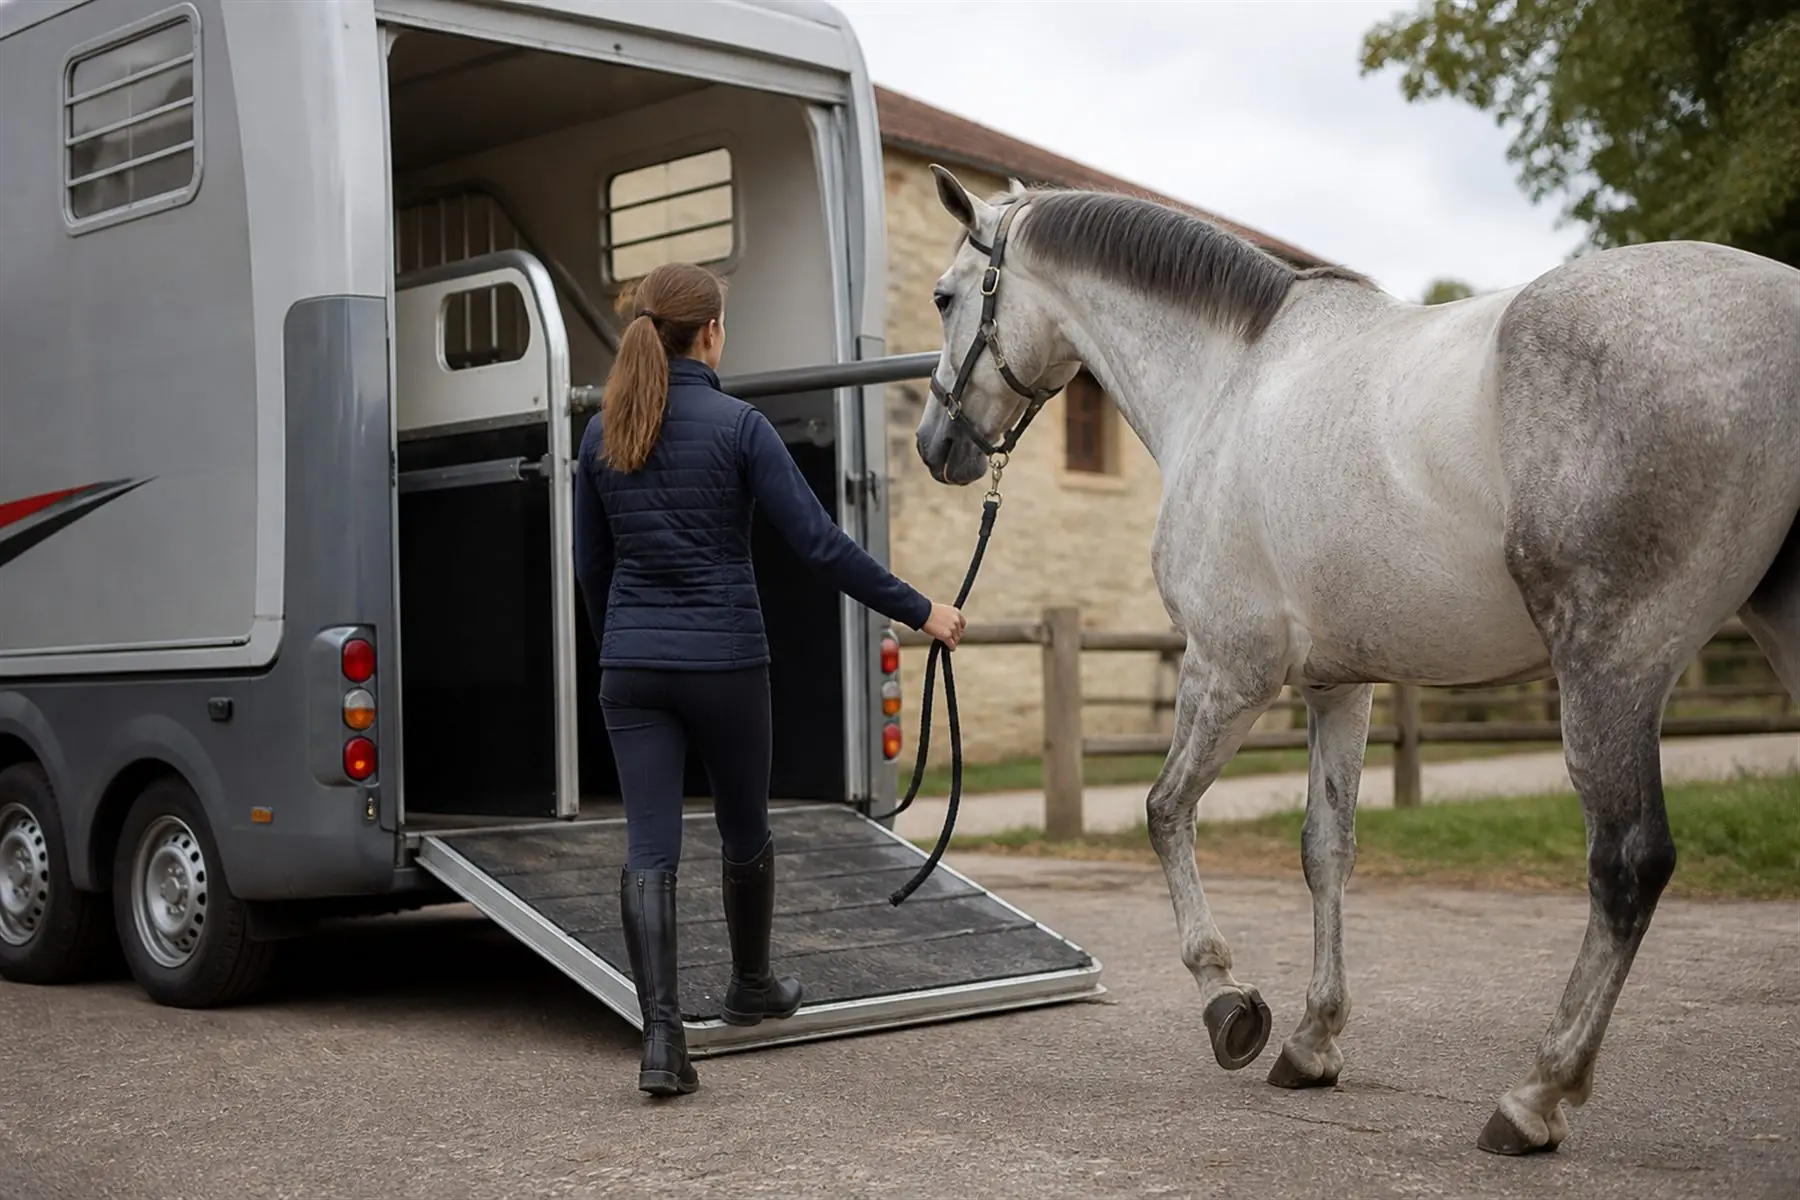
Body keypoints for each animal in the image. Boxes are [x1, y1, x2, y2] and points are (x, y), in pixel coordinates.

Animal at [913, 164, 1800, 1155]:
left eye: (945, 295)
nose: (936, 446)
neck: (1228, 381)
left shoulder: (1230, 668)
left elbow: (1165, 811)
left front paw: (1229, 1005)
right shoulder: (1339, 687)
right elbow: (1324, 848)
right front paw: (1312, 1041)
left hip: (1612, 669)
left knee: (1627, 864)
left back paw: (1535, 1095)